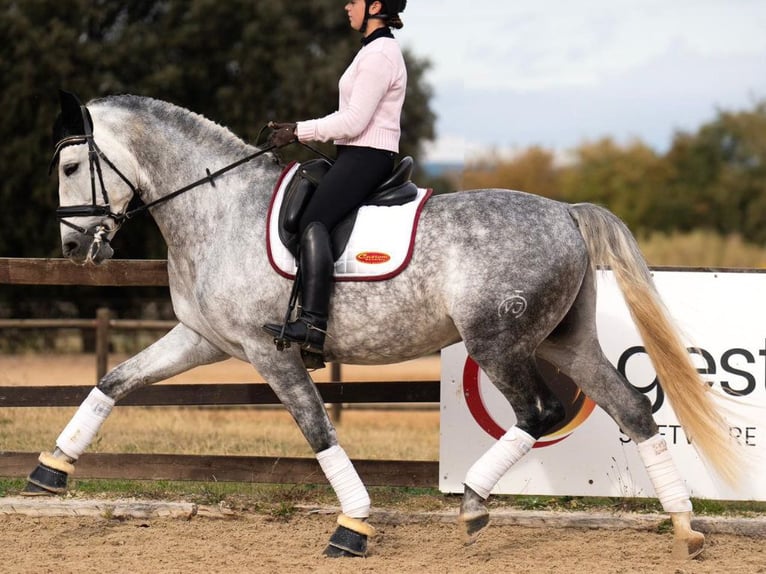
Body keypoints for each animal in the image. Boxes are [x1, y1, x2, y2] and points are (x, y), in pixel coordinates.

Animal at [27, 92, 740, 560]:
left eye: (69, 167)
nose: (74, 249)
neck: (217, 206)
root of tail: (566, 211)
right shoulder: (203, 339)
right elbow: (116, 381)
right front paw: (50, 469)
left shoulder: (268, 351)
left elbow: (318, 431)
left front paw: (355, 525)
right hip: (564, 341)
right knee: (631, 409)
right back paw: (684, 527)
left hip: (499, 342)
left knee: (541, 413)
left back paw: (474, 502)